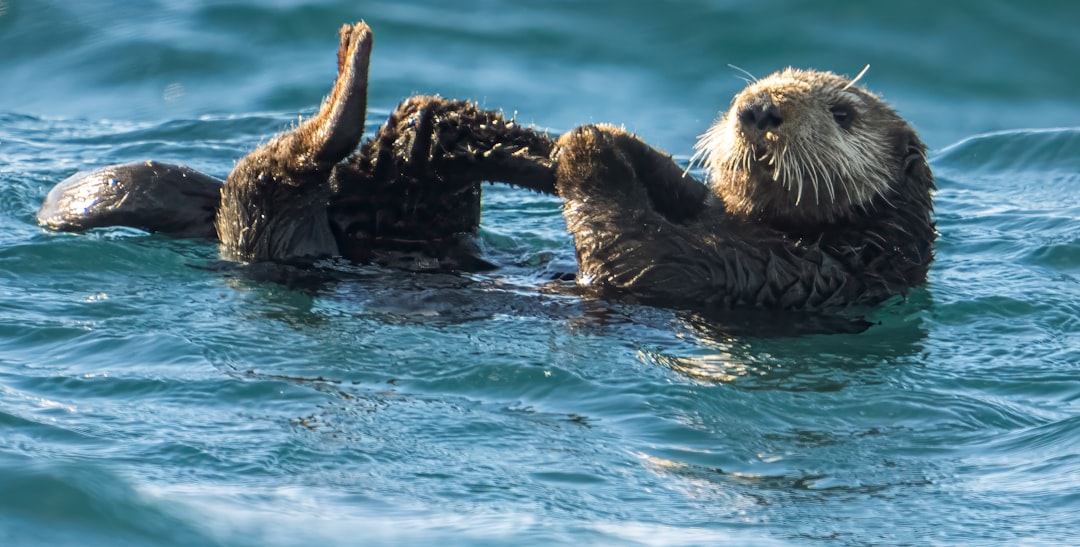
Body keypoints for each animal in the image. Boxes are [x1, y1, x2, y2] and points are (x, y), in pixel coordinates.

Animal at [551, 67, 935, 311]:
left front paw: (587, 149)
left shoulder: (777, 274)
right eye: (752, 88)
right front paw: (618, 138)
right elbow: (687, 194)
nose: (759, 108)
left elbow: (637, 255)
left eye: (842, 114)